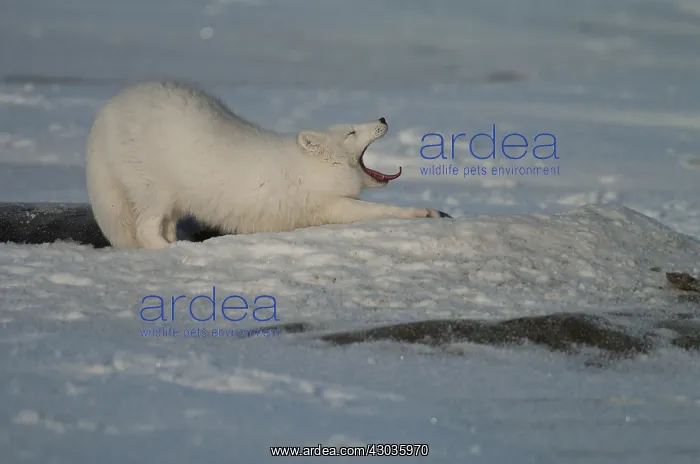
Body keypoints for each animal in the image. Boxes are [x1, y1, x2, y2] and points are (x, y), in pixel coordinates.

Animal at [85, 80, 451, 249]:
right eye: (351, 132)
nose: (383, 118)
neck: (313, 170)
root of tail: (107, 111)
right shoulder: (331, 206)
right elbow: (384, 210)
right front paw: (429, 212)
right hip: (153, 190)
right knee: (146, 230)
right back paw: (173, 250)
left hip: (173, 201)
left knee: (163, 226)